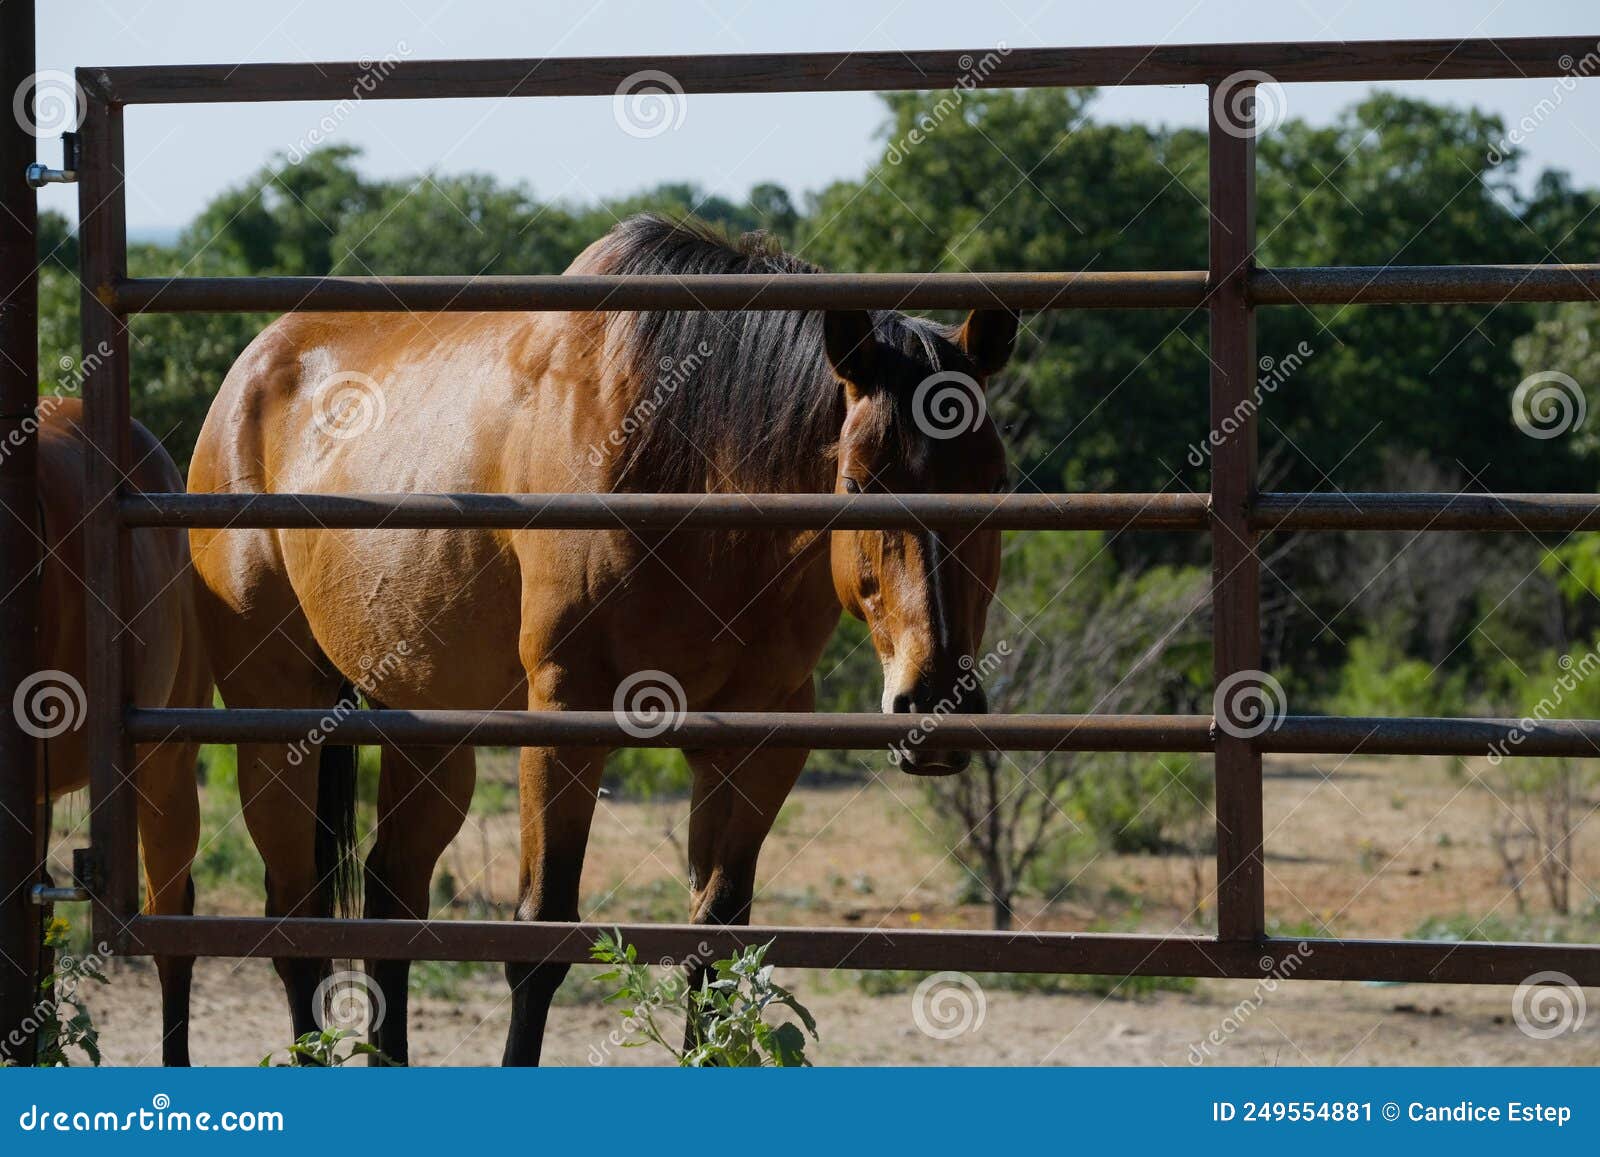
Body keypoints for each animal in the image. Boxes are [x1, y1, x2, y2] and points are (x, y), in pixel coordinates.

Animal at [184, 212, 1011, 1062]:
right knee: (296, 918)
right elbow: (539, 941)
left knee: (391, 895)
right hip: (280, 721)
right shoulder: (565, 718)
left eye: (996, 482)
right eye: (856, 482)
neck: (684, 466)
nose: (935, 697)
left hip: (428, 726)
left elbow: (716, 944)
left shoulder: (758, 742)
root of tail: (249, 371)